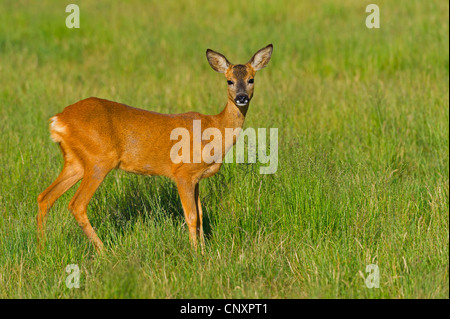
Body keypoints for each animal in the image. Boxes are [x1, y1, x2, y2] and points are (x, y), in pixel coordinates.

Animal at [37, 44, 272, 252]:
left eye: (251, 79)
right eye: (229, 80)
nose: (241, 97)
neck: (214, 128)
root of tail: (58, 120)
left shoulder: (196, 178)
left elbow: (200, 215)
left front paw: (205, 251)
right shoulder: (183, 172)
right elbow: (191, 216)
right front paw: (196, 254)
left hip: (76, 162)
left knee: (44, 197)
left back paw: (42, 249)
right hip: (99, 159)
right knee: (76, 204)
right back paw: (104, 251)